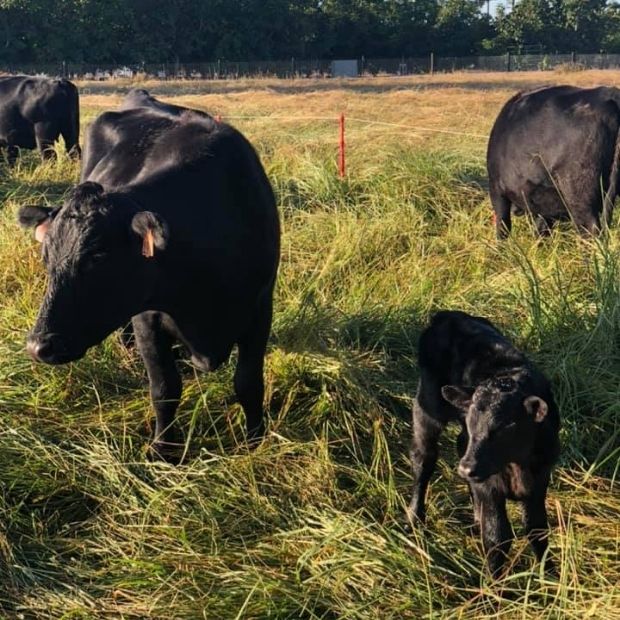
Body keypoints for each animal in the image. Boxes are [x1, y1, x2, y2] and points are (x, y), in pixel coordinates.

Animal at [19, 94, 280, 460]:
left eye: (98, 257)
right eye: (47, 258)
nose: (38, 345)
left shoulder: (260, 308)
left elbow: (248, 381)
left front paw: (255, 439)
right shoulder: (147, 317)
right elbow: (164, 388)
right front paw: (163, 450)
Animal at [406, 312, 560, 580]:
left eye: (507, 426)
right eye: (471, 420)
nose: (467, 469)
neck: (516, 464)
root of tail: (448, 315)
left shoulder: (539, 480)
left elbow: (537, 530)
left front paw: (550, 578)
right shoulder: (490, 487)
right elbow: (497, 537)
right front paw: (494, 585)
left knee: (458, 445)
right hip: (427, 406)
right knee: (424, 457)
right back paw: (415, 518)